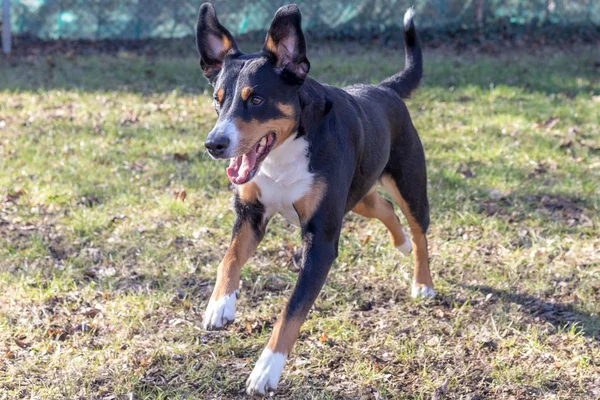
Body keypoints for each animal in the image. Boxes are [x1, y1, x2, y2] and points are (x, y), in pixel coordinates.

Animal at [196, 3, 432, 396]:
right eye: (218, 101)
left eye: (256, 99)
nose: (214, 144)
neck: (285, 151)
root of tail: (384, 89)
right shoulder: (251, 215)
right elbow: (228, 260)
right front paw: (220, 305)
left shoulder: (320, 240)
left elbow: (291, 312)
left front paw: (267, 369)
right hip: (358, 194)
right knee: (384, 208)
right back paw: (399, 243)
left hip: (410, 185)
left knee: (419, 231)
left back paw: (423, 282)